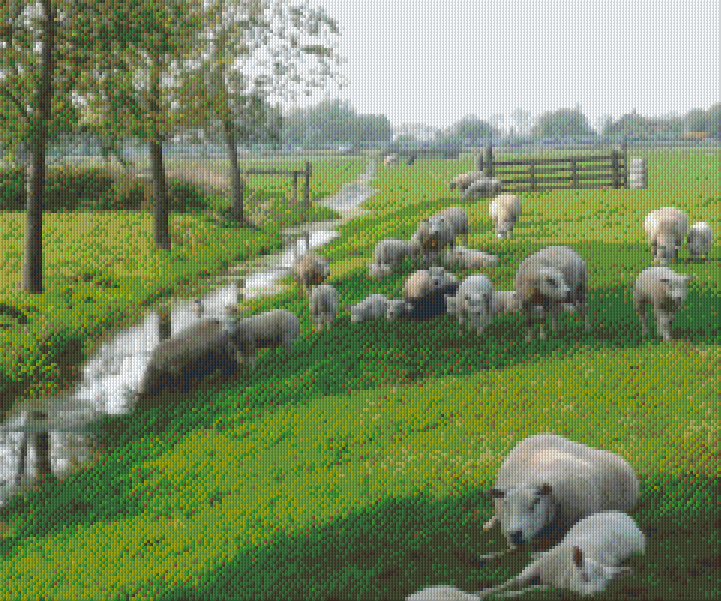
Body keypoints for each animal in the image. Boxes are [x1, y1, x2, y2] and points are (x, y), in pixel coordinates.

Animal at [476, 511, 646, 598]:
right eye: (584, 576)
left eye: (604, 586)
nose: (593, 595)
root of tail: (629, 518)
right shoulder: (534, 568)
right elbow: (513, 582)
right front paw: (483, 593)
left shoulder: (550, 587)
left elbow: (528, 589)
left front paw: (504, 595)